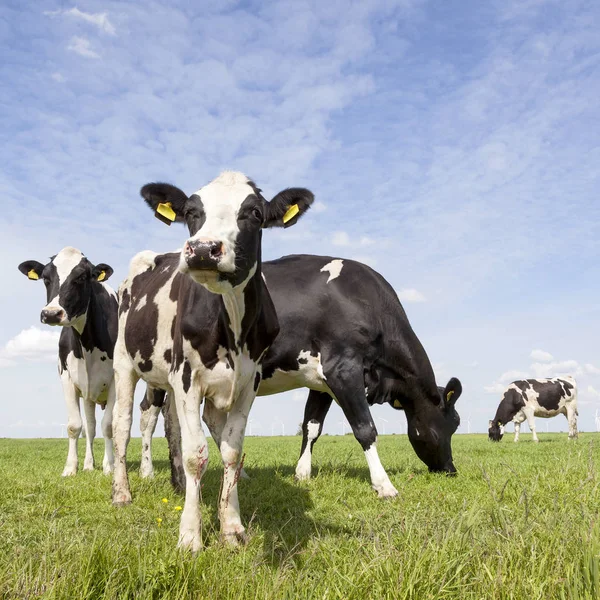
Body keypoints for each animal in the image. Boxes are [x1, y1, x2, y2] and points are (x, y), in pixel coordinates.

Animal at [17, 246, 116, 476]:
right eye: (46, 278)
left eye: (81, 277)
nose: (52, 313)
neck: (87, 344)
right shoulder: (67, 378)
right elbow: (75, 426)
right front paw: (71, 468)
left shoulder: (117, 379)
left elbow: (109, 426)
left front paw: (110, 467)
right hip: (89, 393)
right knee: (90, 427)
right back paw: (89, 465)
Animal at [110, 170, 314, 552]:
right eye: (192, 212)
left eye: (255, 214)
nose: (204, 248)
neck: (231, 318)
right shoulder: (188, 377)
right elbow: (196, 454)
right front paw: (190, 535)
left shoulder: (249, 381)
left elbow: (231, 451)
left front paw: (231, 528)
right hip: (124, 363)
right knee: (121, 426)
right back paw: (121, 493)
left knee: (173, 424)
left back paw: (177, 484)